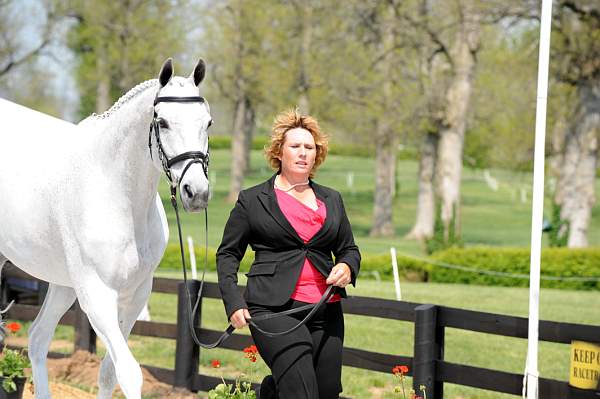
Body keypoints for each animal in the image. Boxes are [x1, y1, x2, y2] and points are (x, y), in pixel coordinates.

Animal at [0, 57, 213, 398]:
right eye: (163, 122)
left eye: (208, 123)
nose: (197, 192)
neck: (115, 191)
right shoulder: (97, 295)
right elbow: (129, 373)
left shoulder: (135, 294)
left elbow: (109, 372)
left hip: (61, 284)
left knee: (38, 339)